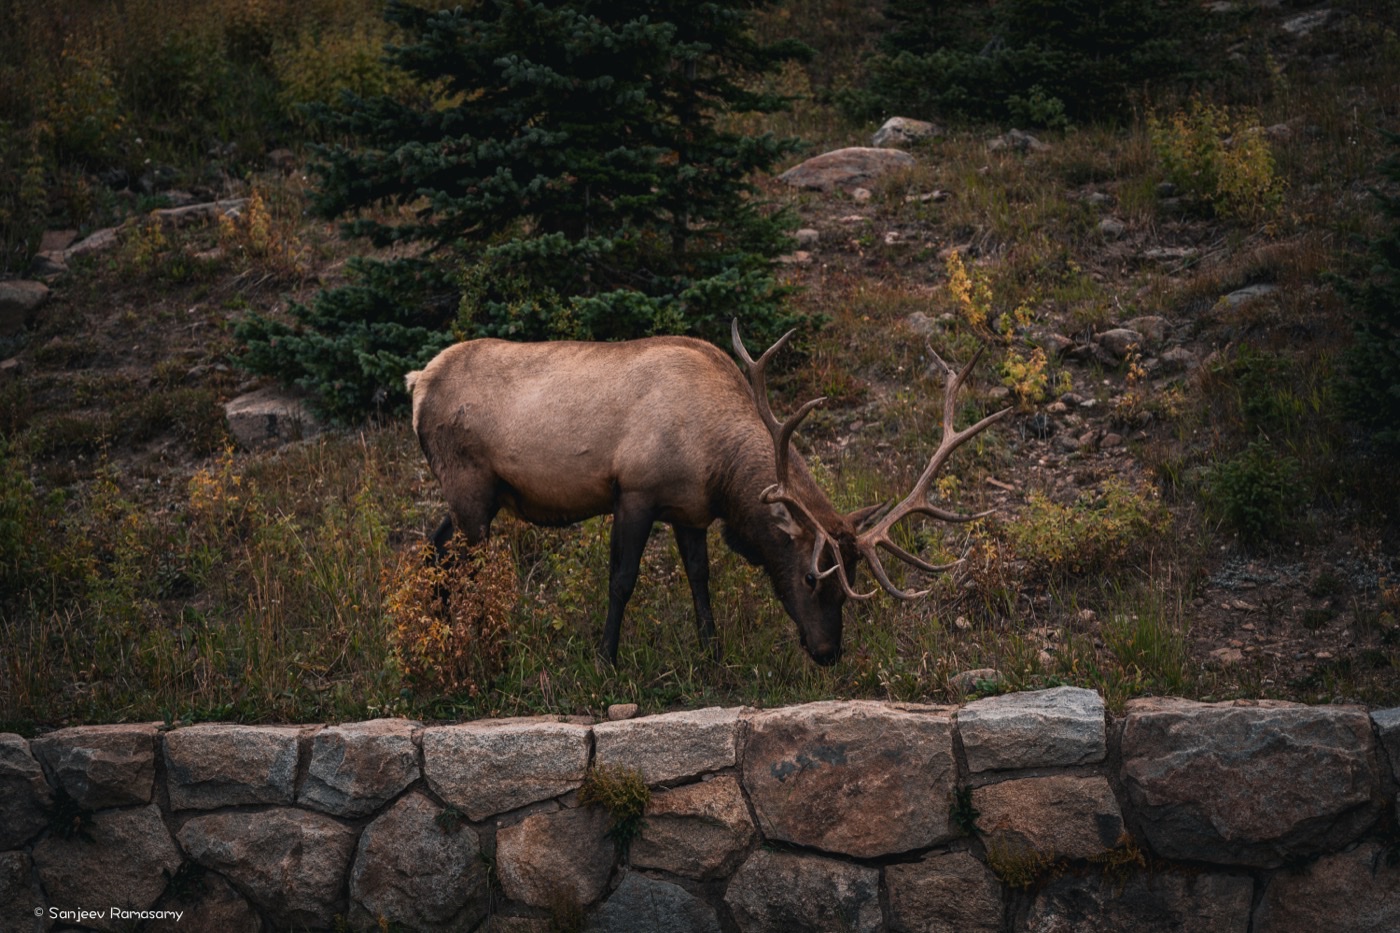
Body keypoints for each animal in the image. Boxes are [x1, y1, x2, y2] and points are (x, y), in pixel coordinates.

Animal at [405, 320, 1010, 666]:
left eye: (851, 583)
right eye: (812, 577)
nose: (827, 653)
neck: (717, 467)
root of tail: (417, 382)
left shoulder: (689, 510)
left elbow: (701, 578)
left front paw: (713, 654)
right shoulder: (635, 490)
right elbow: (622, 579)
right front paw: (606, 659)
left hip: (473, 495)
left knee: (434, 550)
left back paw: (439, 641)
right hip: (470, 487)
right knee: (466, 567)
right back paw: (488, 651)